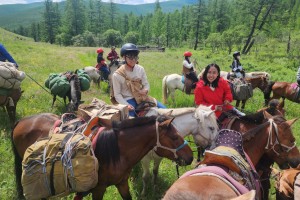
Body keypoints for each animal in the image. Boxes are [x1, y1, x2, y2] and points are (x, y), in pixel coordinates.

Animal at [11, 113, 192, 199]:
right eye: (174, 137)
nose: (190, 157)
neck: (118, 151)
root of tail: (23, 120)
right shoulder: (98, 189)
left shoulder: (122, 184)